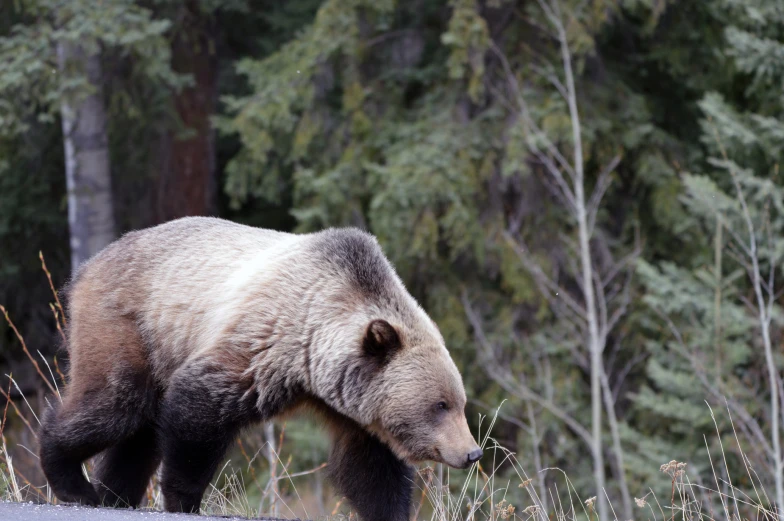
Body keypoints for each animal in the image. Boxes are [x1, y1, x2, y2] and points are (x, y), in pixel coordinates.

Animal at [39, 216, 480, 520]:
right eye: (440, 405)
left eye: (460, 403)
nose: (472, 453)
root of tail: (92, 262)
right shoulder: (263, 345)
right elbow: (199, 410)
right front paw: (183, 498)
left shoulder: (350, 405)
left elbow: (372, 467)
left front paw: (389, 510)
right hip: (130, 323)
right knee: (116, 403)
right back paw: (73, 482)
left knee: (140, 431)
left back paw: (115, 493)